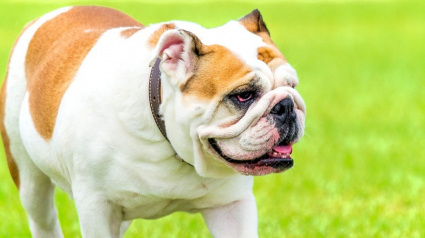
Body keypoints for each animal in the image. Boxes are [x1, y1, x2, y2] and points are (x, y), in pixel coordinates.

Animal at [0, 5, 304, 238]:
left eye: (292, 86)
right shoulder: (96, 207)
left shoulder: (233, 206)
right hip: (29, 179)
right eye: (243, 96)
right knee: (42, 218)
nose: (286, 105)